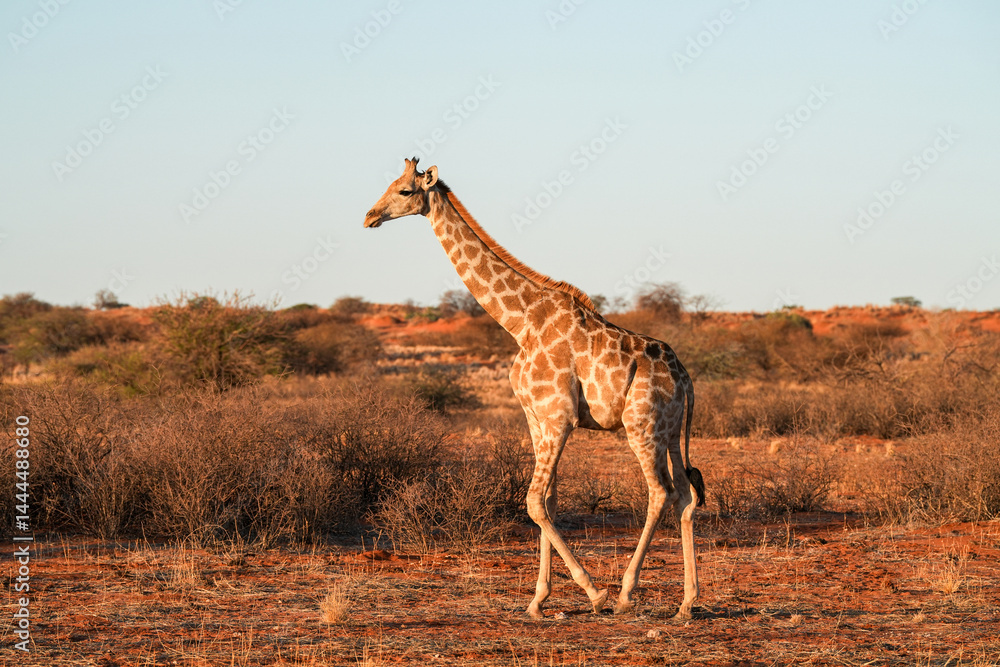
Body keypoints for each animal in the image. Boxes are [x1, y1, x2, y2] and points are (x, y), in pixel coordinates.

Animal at [364, 158, 705, 619]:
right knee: (685, 495)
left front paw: (592, 593)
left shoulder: (560, 416)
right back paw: (686, 603)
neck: (520, 321)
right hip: (669, 432)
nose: (369, 216)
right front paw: (539, 600)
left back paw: (624, 594)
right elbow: (549, 501)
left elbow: (532, 501)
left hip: (642, 426)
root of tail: (685, 378)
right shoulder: (536, 417)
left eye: (403, 191)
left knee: (660, 492)